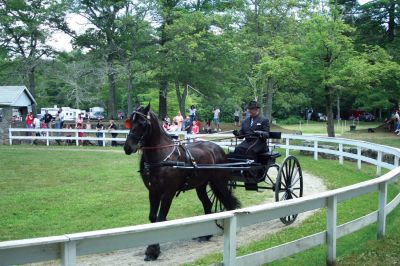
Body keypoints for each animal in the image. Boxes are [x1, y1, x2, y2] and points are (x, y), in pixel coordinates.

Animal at [123, 104, 239, 262]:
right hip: (201, 185)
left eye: (142, 123)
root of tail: (218, 148)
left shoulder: (168, 193)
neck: (163, 158)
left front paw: (153, 251)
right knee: (208, 204)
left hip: (219, 182)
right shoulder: (153, 191)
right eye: (130, 122)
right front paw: (151, 249)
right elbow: (153, 218)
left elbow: (160, 219)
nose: (128, 147)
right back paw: (206, 235)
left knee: (227, 201)